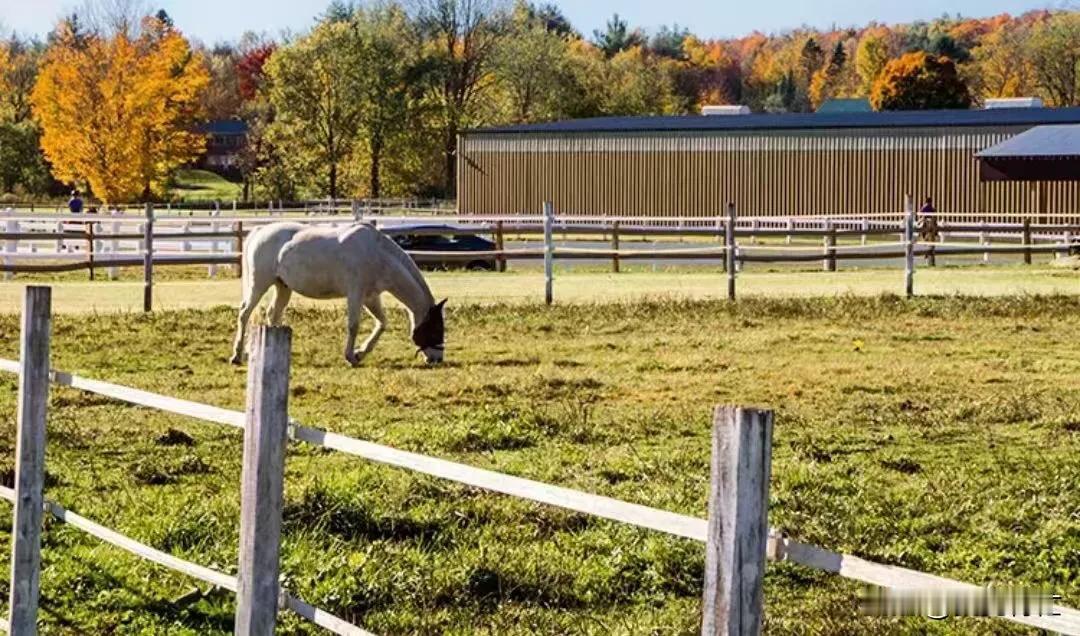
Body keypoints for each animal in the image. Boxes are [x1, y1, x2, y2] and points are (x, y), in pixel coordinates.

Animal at [230, 222, 444, 364]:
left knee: (273, 314)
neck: (377, 253)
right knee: (244, 313)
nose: (438, 358)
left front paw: (360, 353)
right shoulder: (355, 294)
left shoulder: (371, 297)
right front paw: (350, 356)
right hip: (259, 285)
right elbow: (353, 325)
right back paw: (237, 356)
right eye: (435, 329)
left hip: (283, 287)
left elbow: (382, 323)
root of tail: (259, 230)